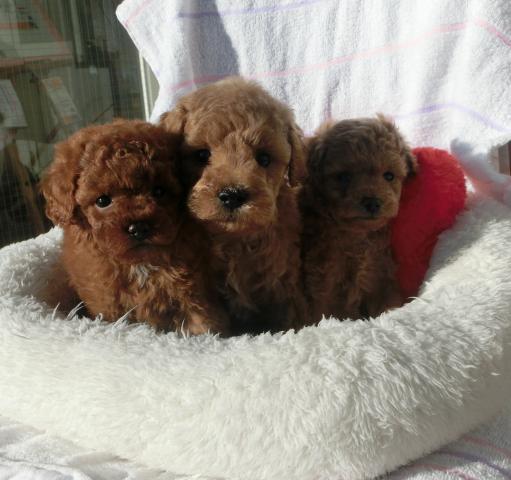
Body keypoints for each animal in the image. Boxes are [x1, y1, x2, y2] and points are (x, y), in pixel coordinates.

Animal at [41, 119, 229, 335]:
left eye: (159, 191)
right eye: (102, 201)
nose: (138, 228)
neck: (139, 262)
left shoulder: (194, 294)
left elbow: (203, 324)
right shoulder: (109, 308)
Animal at [160, 77, 308, 334]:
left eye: (264, 159)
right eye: (202, 155)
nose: (232, 195)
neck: (233, 238)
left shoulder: (280, 277)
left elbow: (285, 312)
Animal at [300, 115, 417, 322]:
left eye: (389, 176)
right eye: (343, 177)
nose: (372, 202)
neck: (357, 236)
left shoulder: (380, 276)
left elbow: (389, 302)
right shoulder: (324, 285)